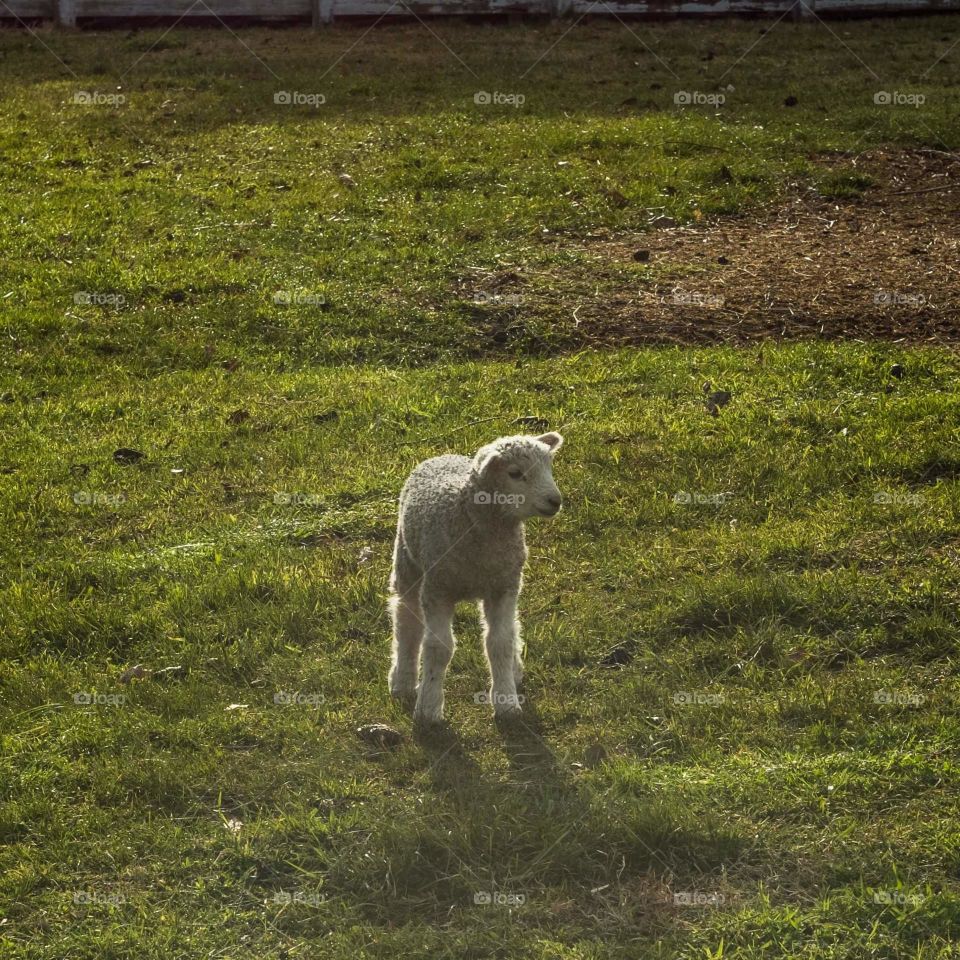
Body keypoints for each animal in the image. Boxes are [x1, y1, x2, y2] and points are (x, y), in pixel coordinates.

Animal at [388, 432, 564, 725]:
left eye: (549, 466)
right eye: (515, 473)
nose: (555, 500)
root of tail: (443, 455)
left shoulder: (503, 587)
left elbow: (500, 641)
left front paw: (506, 702)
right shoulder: (437, 589)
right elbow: (438, 647)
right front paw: (428, 709)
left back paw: (515, 670)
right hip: (407, 562)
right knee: (406, 620)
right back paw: (402, 680)